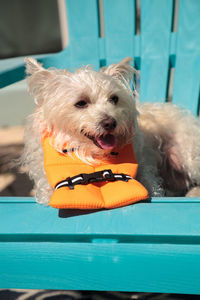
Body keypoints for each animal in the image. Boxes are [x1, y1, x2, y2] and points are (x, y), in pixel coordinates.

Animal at [20, 57, 200, 205]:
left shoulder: (145, 164)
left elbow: (150, 185)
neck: (91, 155)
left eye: (114, 99)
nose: (110, 122)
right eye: (81, 103)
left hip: (188, 155)